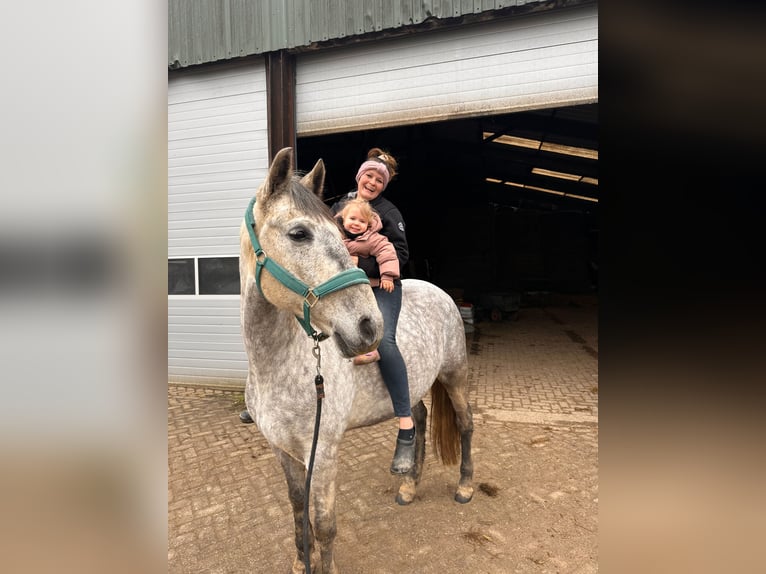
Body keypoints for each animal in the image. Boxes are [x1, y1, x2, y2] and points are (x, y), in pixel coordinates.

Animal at [239, 147, 474, 574]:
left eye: (340, 233)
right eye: (299, 233)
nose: (369, 325)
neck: (275, 367)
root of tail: (441, 293)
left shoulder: (323, 452)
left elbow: (324, 523)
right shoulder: (282, 451)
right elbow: (297, 508)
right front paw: (301, 561)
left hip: (455, 377)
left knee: (465, 425)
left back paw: (465, 487)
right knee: (417, 418)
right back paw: (409, 485)